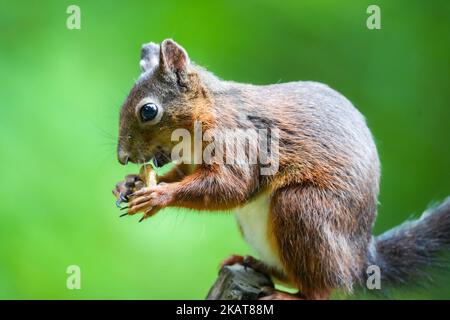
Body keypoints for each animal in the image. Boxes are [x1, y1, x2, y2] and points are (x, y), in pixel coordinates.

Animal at [112, 38, 450, 298]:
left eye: (148, 111)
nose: (122, 157)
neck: (204, 115)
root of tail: (359, 262)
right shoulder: (192, 159)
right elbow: (185, 174)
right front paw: (128, 184)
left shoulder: (239, 139)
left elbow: (232, 186)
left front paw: (158, 195)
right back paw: (256, 264)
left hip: (302, 209)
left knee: (320, 291)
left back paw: (286, 295)